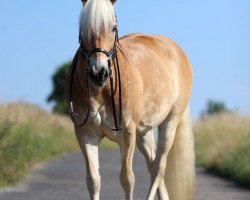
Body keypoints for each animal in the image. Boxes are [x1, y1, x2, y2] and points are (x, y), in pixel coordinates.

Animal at [66, 0, 195, 200]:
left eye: (113, 27)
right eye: (82, 28)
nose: (98, 73)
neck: (102, 90)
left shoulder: (127, 134)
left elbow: (127, 179)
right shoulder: (86, 134)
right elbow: (93, 180)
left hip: (169, 123)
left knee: (158, 168)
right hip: (144, 132)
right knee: (153, 165)